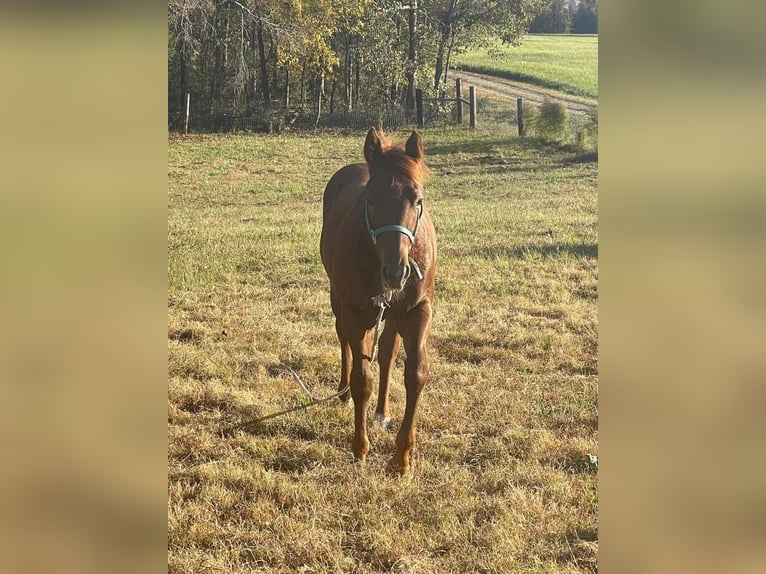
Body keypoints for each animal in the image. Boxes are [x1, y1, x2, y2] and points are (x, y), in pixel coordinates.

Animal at [320, 127, 436, 475]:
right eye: (370, 199)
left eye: (417, 199)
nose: (396, 272)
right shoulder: (355, 313)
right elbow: (362, 380)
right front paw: (360, 449)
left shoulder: (417, 311)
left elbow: (414, 373)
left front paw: (402, 458)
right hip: (340, 301)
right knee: (344, 340)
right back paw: (343, 391)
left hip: (393, 314)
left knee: (386, 353)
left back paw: (382, 412)